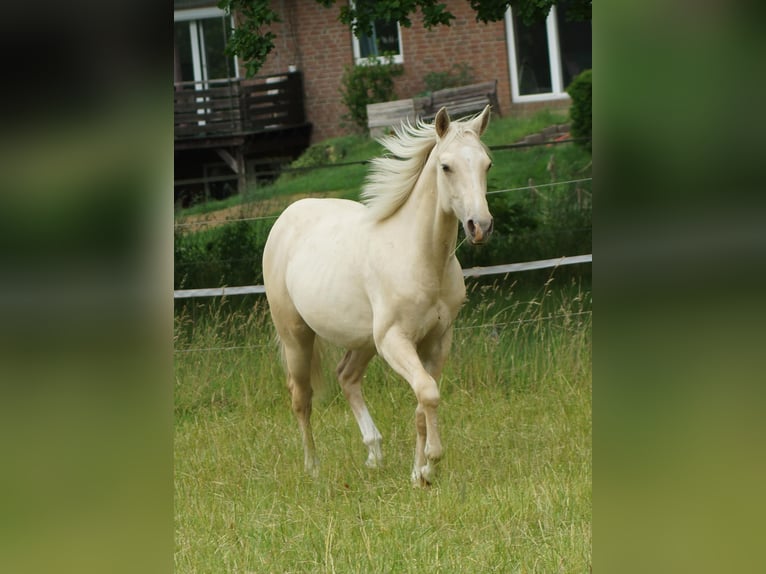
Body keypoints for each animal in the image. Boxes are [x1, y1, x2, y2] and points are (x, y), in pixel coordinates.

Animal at [262, 105, 494, 485]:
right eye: (446, 166)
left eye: (486, 164)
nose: (480, 226)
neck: (420, 257)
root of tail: (286, 216)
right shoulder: (394, 341)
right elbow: (428, 393)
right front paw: (432, 459)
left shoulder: (437, 340)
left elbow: (421, 403)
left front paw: (420, 473)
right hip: (297, 336)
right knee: (301, 396)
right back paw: (313, 468)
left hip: (362, 341)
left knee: (346, 377)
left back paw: (374, 454)